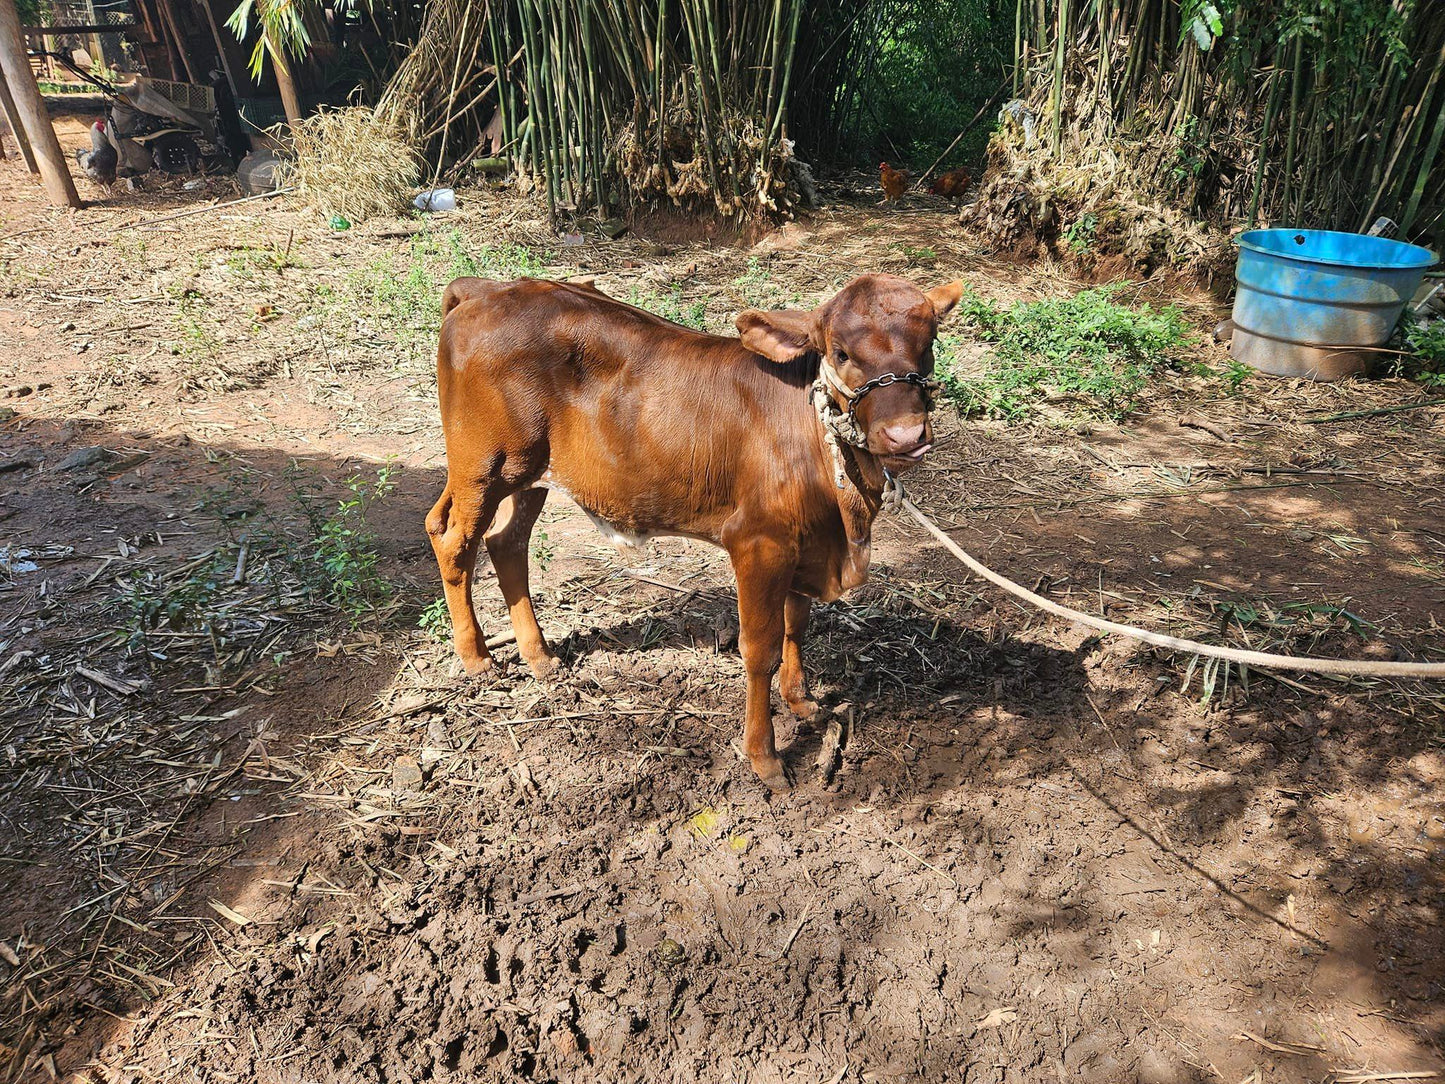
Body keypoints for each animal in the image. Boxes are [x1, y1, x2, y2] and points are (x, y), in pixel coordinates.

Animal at [421, 273, 965, 792]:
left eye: (929, 343)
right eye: (841, 353)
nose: (905, 435)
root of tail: (488, 289)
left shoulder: (804, 543)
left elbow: (796, 625)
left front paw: (802, 702)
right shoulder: (758, 542)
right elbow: (760, 648)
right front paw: (764, 757)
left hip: (531, 473)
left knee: (505, 542)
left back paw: (540, 657)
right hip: (483, 466)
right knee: (453, 541)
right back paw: (477, 659)